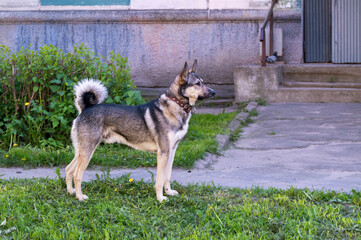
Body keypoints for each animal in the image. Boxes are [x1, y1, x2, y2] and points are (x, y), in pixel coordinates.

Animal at [65, 59, 214, 202]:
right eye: (197, 84)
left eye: (203, 82)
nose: (214, 92)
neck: (175, 105)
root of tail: (86, 108)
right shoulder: (163, 153)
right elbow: (159, 180)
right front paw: (160, 198)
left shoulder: (172, 151)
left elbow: (168, 176)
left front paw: (169, 192)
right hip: (87, 151)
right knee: (77, 174)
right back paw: (80, 197)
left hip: (81, 151)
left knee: (68, 169)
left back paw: (71, 192)